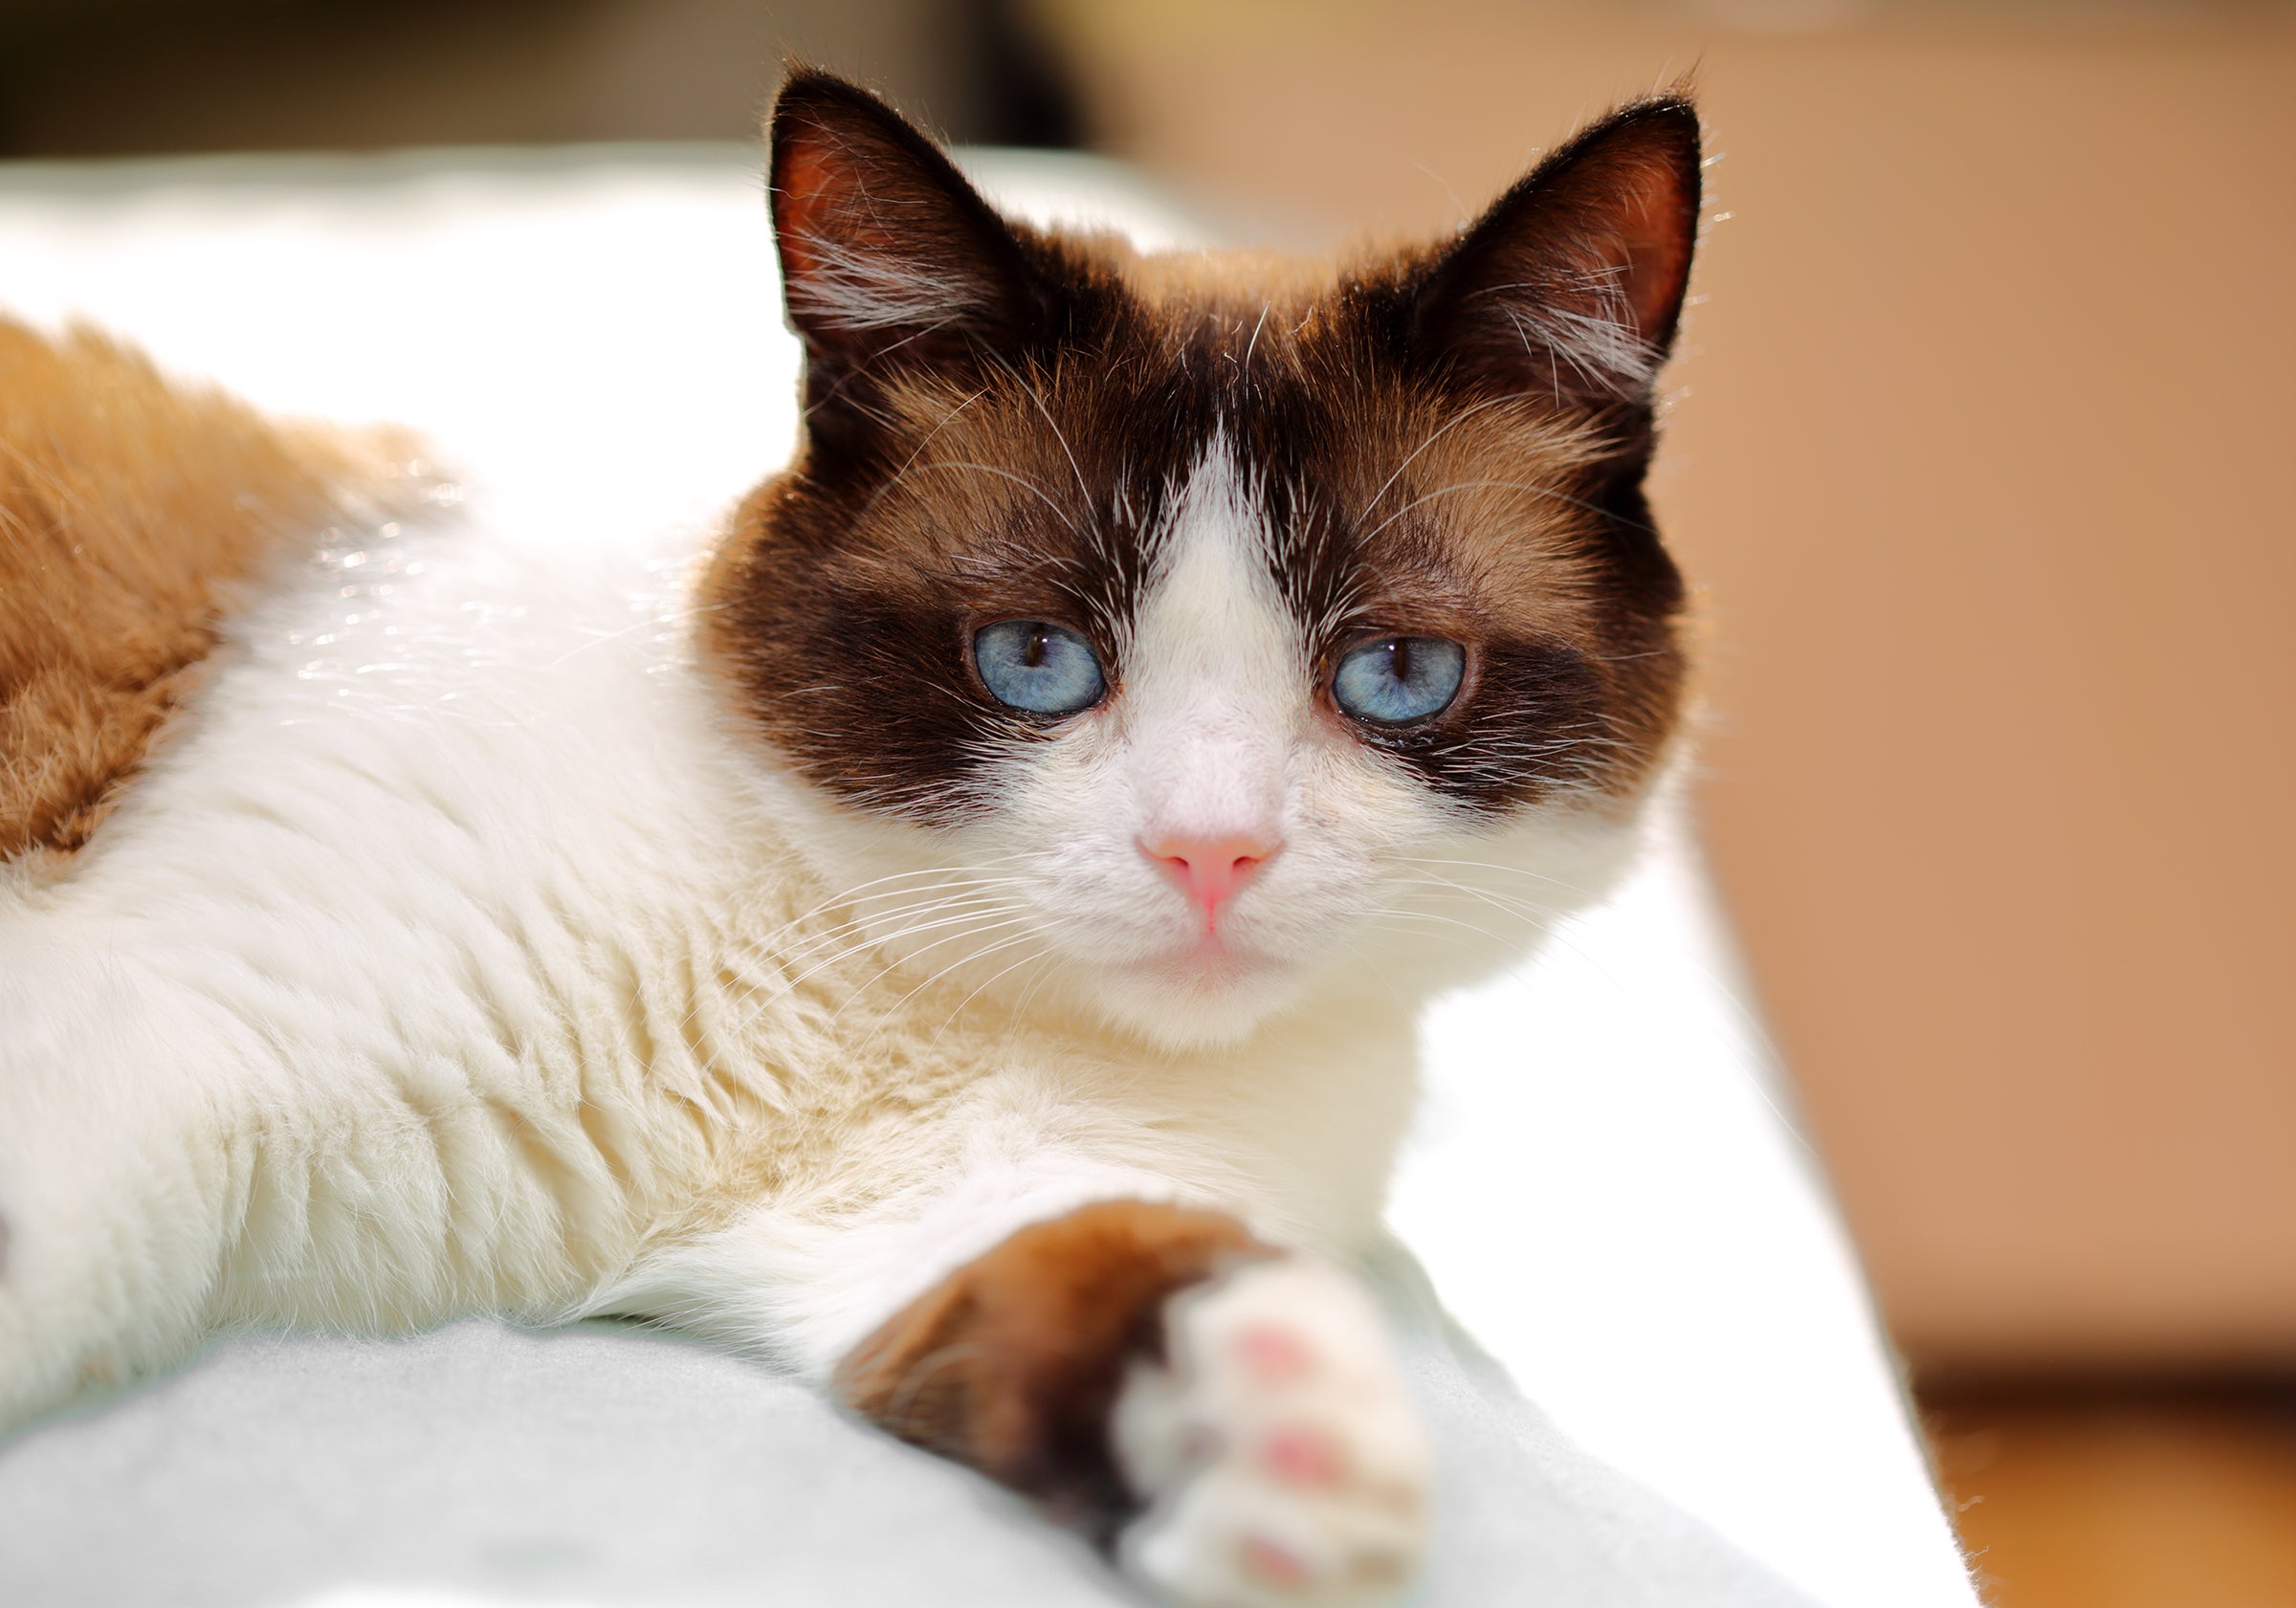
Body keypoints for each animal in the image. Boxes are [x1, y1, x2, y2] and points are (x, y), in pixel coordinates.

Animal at [0, 69, 1699, 1607]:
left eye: (1395, 676)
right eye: (1033, 660)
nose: (1209, 854)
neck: (858, 966)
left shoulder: (933, 1214)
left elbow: (1104, 1276)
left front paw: (1279, 1430)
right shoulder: (171, 1046)